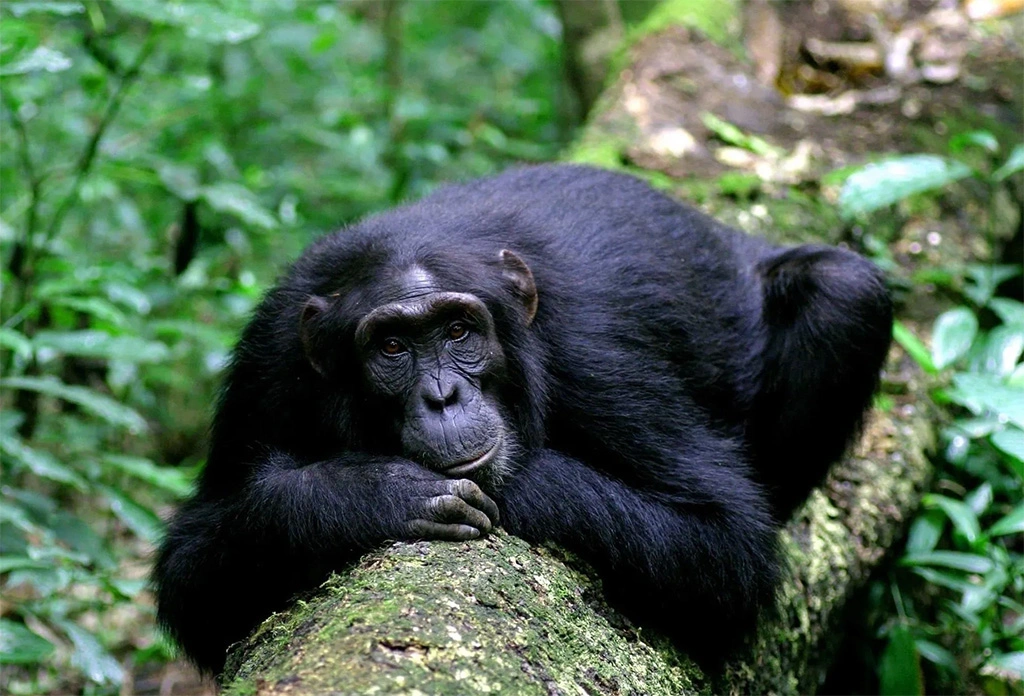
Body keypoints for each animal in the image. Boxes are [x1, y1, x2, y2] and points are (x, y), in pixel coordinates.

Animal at [149, 164, 888, 675]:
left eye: (457, 331)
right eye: (391, 347)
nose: (443, 396)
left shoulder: (601, 353)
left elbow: (726, 542)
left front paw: (522, 484)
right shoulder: (269, 358)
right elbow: (194, 570)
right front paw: (371, 492)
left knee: (844, 291)